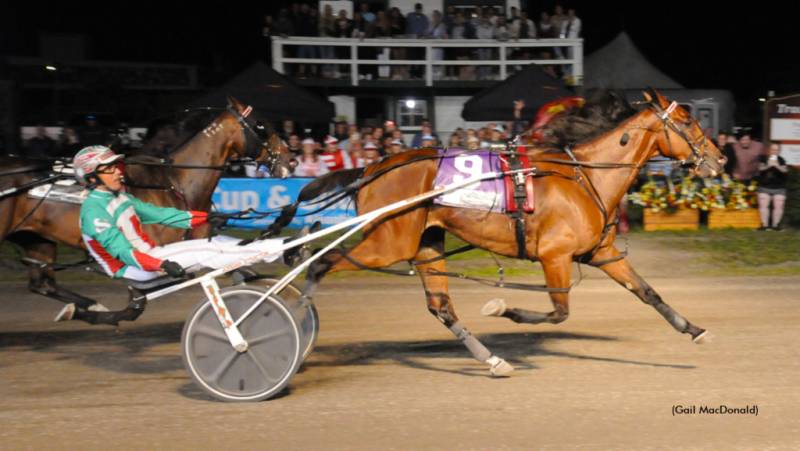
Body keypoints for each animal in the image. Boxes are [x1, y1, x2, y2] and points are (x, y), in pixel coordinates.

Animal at [0, 98, 294, 324]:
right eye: (261, 125)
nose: (291, 159)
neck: (173, 182)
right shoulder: (161, 256)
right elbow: (141, 300)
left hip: (36, 239)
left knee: (42, 283)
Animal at [276, 89, 724, 378]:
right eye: (686, 120)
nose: (719, 159)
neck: (583, 176)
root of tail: (372, 167)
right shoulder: (555, 255)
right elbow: (559, 312)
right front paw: (504, 309)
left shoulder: (601, 253)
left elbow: (647, 292)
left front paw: (694, 330)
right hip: (389, 242)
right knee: (323, 263)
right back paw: (295, 315)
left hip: (426, 243)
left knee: (440, 306)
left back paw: (492, 360)